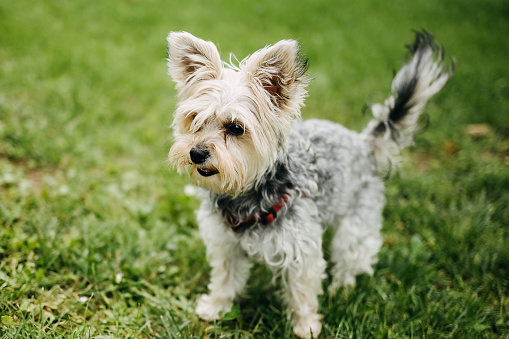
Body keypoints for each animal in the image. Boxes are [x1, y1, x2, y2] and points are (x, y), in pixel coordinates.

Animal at [166, 30, 452, 338]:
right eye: (195, 119)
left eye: (235, 128)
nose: (196, 153)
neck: (247, 194)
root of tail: (361, 142)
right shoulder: (226, 245)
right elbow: (224, 279)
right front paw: (216, 308)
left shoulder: (300, 253)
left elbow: (301, 294)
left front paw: (306, 326)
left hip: (355, 224)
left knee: (353, 257)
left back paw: (342, 289)